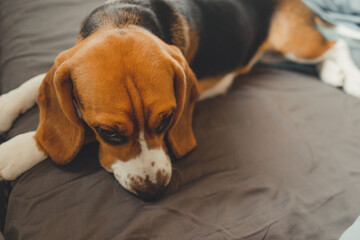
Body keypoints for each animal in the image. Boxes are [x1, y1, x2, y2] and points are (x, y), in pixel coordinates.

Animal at [0, 0, 360, 200]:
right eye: (109, 133)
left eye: (167, 120)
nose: (154, 190)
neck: (124, 17)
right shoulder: (67, 63)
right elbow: (36, 83)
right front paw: (6, 106)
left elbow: (74, 130)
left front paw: (14, 151)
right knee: (325, 54)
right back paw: (333, 74)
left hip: (292, 41)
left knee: (337, 46)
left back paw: (351, 81)